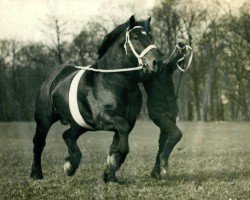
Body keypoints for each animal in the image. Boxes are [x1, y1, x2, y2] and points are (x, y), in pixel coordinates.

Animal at [30, 15, 163, 183]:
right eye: (135, 37)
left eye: (150, 36)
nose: (157, 62)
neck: (116, 80)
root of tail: (52, 77)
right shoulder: (103, 117)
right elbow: (122, 142)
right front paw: (112, 165)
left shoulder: (129, 120)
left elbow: (117, 142)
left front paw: (110, 174)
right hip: (44, 120)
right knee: (39, 143)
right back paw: (36, 174)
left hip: (80, 124)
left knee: (67, 135)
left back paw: (70, 164)